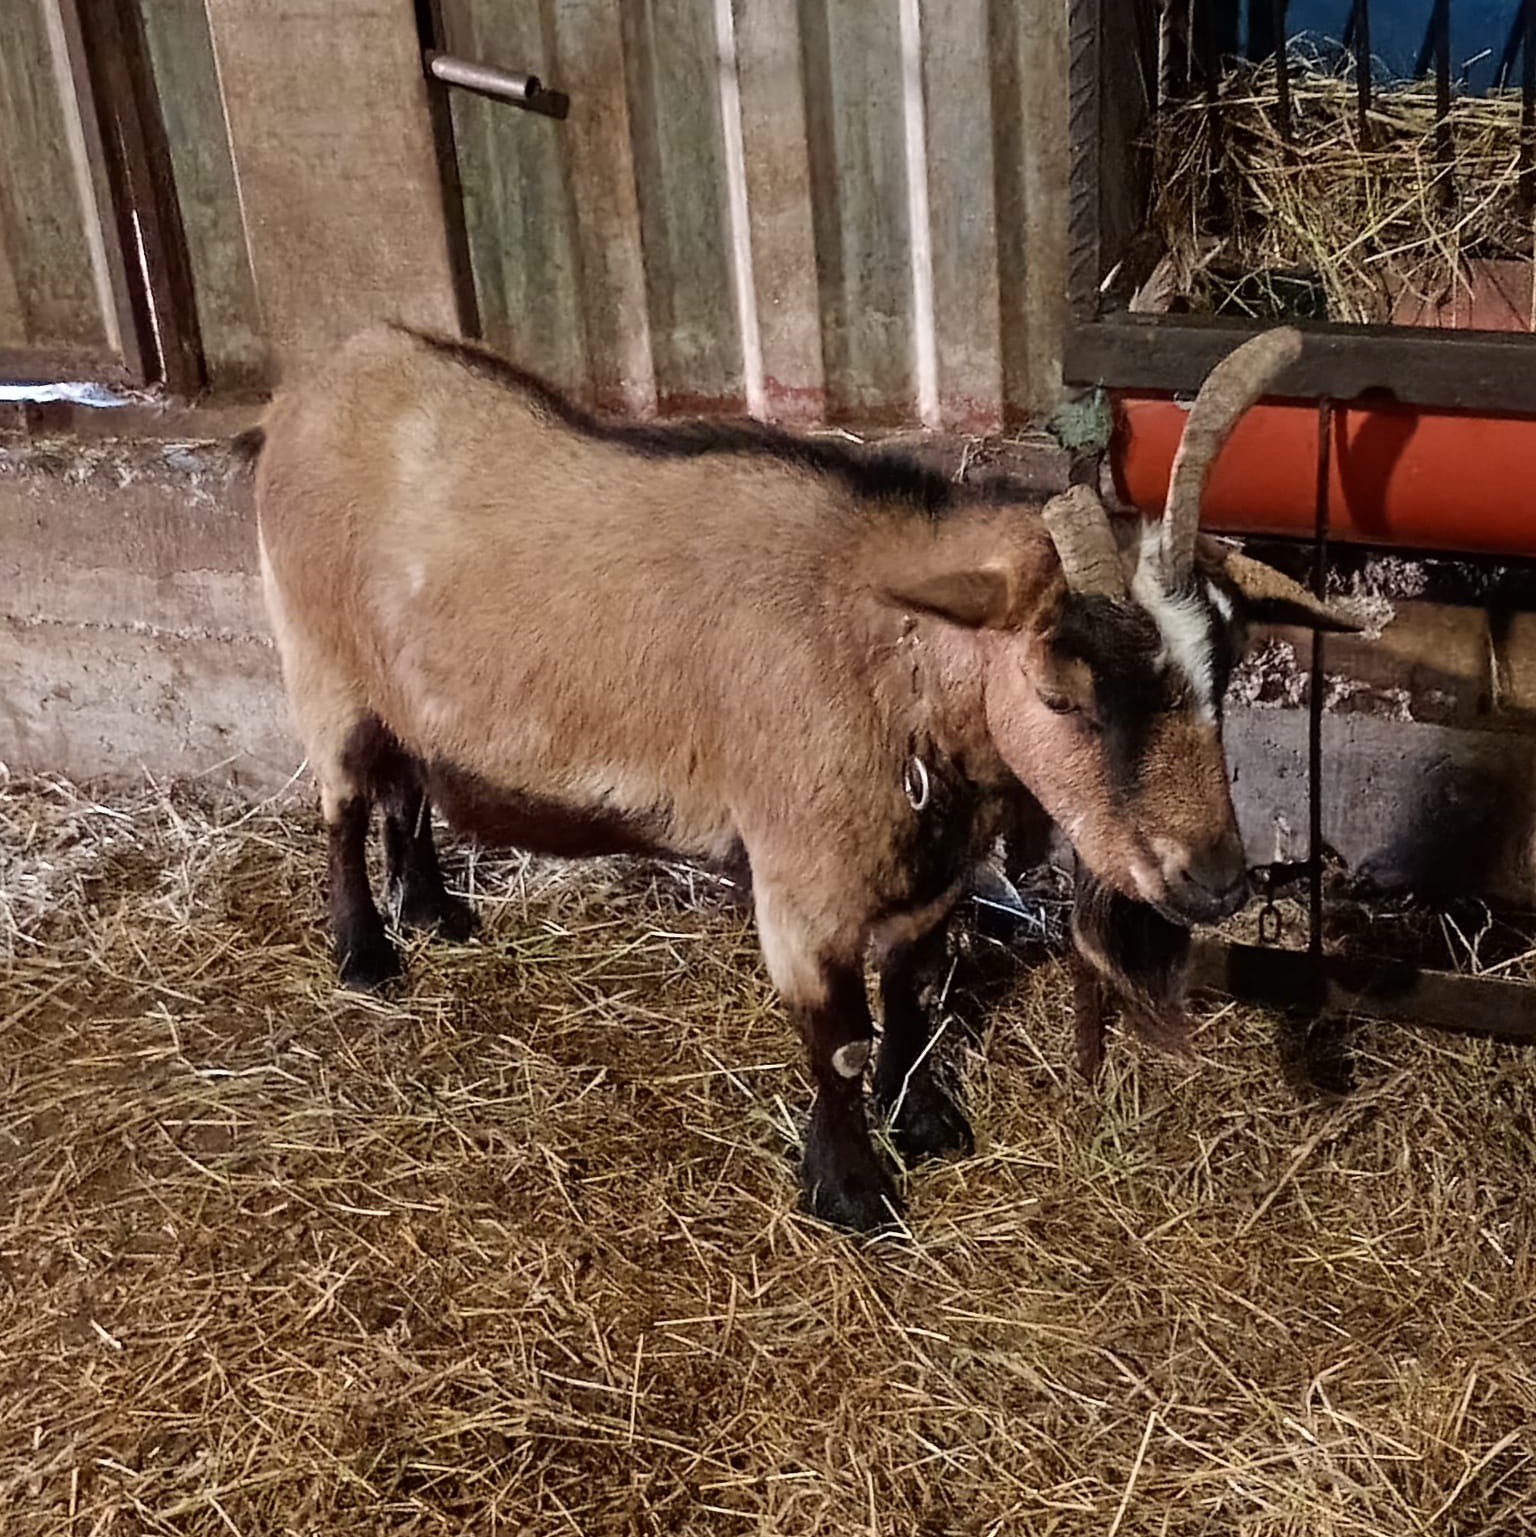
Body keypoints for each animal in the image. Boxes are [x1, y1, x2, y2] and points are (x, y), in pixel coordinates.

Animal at [251, 323, 1358, 1231]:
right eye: (1061, 692)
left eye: (1225, 660)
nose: (1213, 880)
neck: (894, 661)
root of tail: (318, 381)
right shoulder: (801, 883)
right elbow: (839, 1038)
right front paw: (853, 1194)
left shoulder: (928, 873)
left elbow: (910, 993)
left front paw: (926, 1124)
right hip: (318, 659)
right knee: (343, 801)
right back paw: (365, 953)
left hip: (397, 687)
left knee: (406, 784)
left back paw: (435, 912)